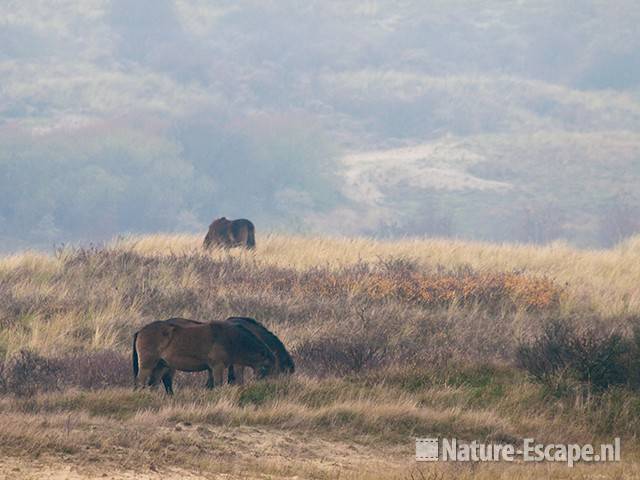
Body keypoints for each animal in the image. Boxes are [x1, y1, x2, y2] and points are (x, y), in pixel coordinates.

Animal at [132, 318, 276, 394]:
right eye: (265, 367)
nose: (266, 386)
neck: (230, 339)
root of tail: (140, 331)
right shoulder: (217, 366)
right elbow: (218, 384)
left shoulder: (211, 368)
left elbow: (210, 385)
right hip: (147, 365)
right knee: (141, 382)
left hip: (160, 366)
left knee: (153, 384)